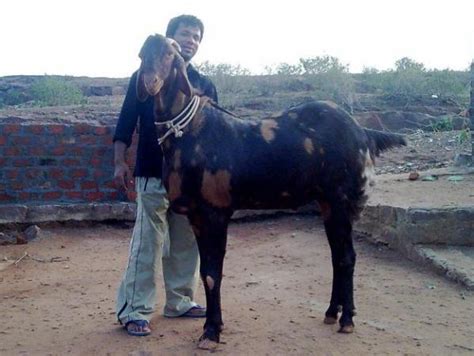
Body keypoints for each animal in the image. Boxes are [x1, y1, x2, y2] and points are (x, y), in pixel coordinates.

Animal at [135, 34, 406, 350]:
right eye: (141, 54)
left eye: (169, 54)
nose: (148, 82)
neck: (191, 134)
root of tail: (363, 133)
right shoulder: (196, 216)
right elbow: (205, 274)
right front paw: (214, 326)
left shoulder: (216, 211)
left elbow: (213, 275)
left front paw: (211, 333)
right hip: (327, 203)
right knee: (337, 255)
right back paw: (331, 312)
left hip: (343, 200)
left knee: (347, 256)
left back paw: (347, 320)